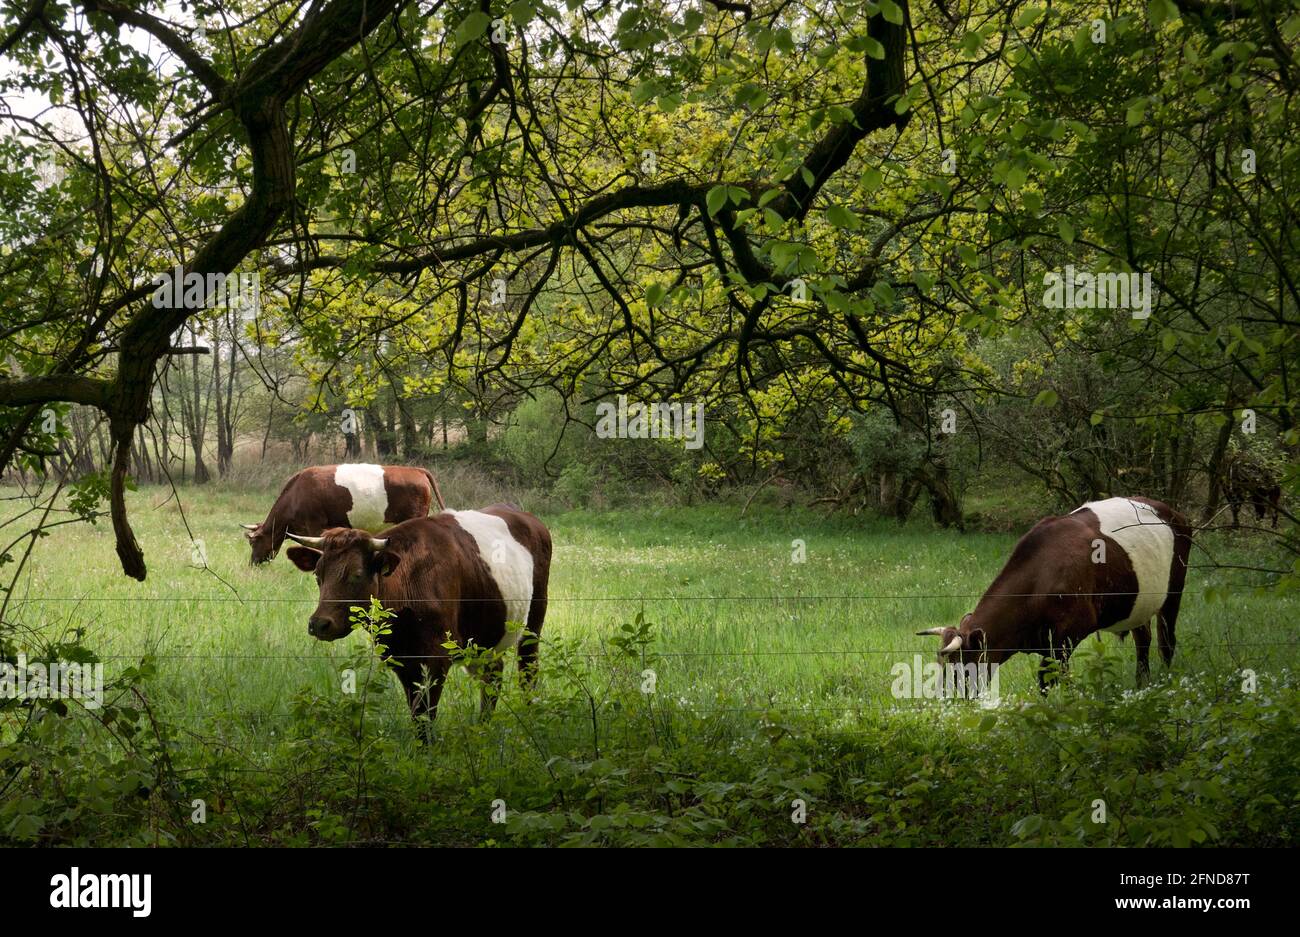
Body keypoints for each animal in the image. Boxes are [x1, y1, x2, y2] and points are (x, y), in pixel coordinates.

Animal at [284, 506, 548, 727]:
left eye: (356, 575)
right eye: (318, 574)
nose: (319, 623)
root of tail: (528, 517)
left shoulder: (437, 658)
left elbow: (426, 714)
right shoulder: (402, 659)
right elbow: (416, 712)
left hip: (533, 622)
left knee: (528, 669)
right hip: (484, 640)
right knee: (492, 675)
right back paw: (483, 727)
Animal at [915, 496, 1190, 686]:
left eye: (960, 666)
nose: (949, 699)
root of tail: (1171, 511)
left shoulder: (1068, 635)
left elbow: (1050, 678)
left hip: (1173, 594)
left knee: (1167, 641)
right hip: (1137, 605)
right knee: (1143, 640)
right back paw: (1141, 684)